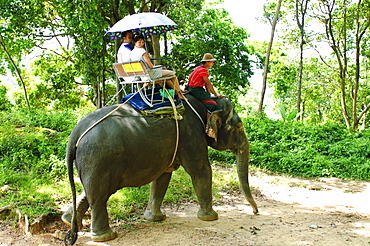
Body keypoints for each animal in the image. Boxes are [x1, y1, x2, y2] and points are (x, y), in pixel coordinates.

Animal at [62, 93, 258, 244]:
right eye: (239, 126)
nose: (255, 212)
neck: (204, 104)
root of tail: (75, 133)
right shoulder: (191, 134)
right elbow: (200, 170)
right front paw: (210, 218)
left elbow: (162, 176)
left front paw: (155, 219)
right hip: (100, 158)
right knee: (99, 196)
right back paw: (105, 237)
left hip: (92, 161)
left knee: (91, 191)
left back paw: (69, 222)